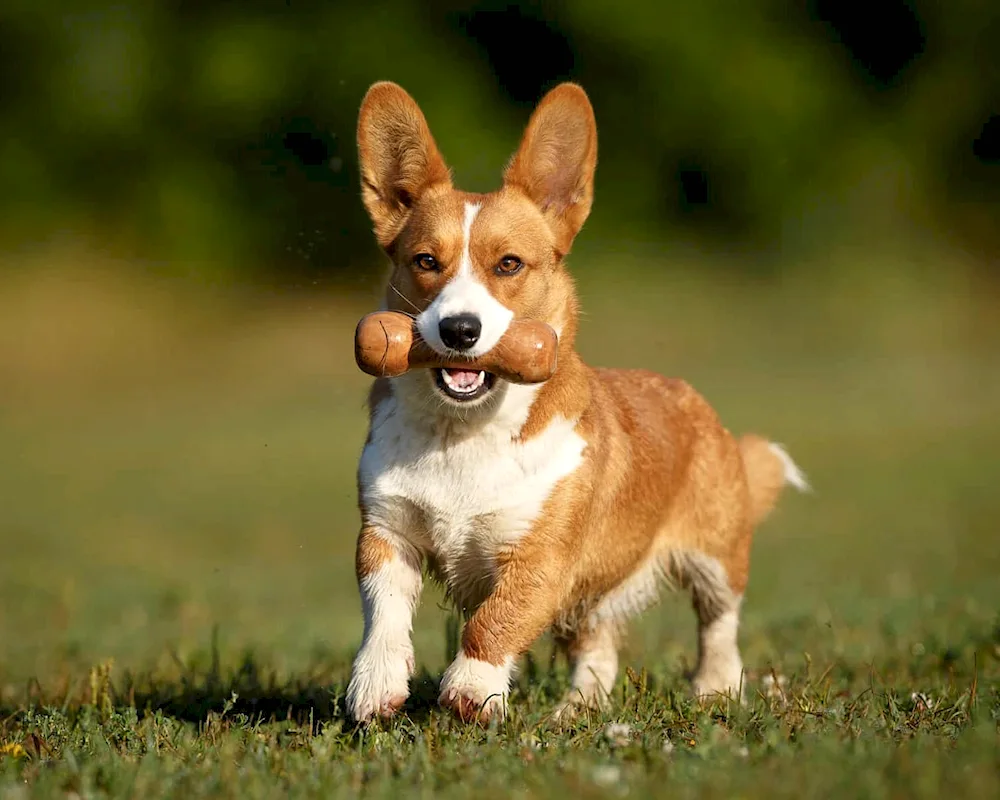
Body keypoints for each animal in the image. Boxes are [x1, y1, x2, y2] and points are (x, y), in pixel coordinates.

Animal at [348, 81, 808, 724]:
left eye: (509, 264)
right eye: (425, 262)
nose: (459, 330)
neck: (462, 433)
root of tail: (694, 400)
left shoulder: (542, 559)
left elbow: (495, 621)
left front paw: (471, 690)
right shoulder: (386, 533)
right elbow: (383, 613)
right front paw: (376, 686)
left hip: (715, 554)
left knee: (719, 622)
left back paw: (715, 686)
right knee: (598, 649)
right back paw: (576, 711)